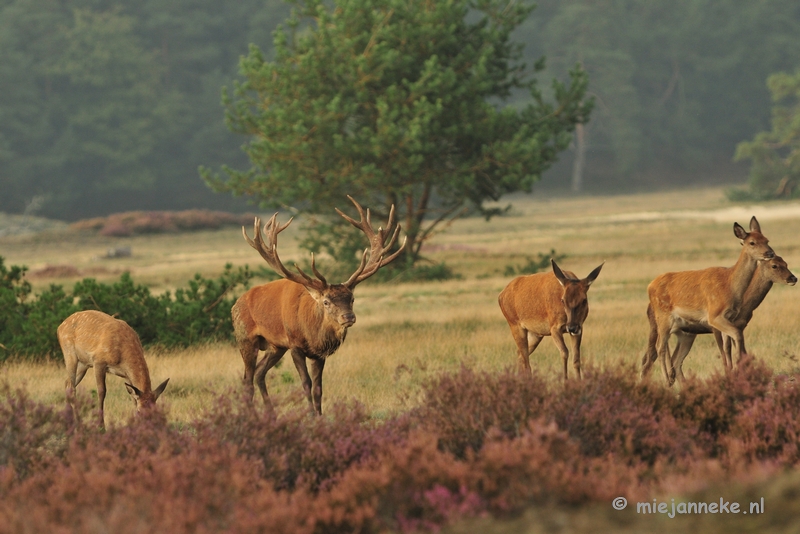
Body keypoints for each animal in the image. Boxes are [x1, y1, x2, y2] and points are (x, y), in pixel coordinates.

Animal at [231, 196, 406, 414]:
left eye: (352, 298)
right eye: (326, 301)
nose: (348, 317)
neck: (312, 333)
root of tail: (235, 305)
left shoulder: (319, 354)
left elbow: (318, 389)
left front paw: (320, 416)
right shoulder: (295, 344)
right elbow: (306, 384)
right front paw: (310, 415)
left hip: (275, 346)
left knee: (259, 373)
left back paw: (270, 413)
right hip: (246, 339)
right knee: (247, 379)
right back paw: (250, 415)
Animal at [644, 218, 776, 390]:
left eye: (766, 240)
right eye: (752, 242)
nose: (770, 253)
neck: (729, 285)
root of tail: (649, 286)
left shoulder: (729, 317)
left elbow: (727, 345)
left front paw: (733, 372)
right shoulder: (714, 315)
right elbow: (737, 335)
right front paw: (738, 369)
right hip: (663, 316)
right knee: (659, 347)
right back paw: (667, 381)